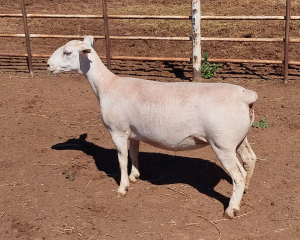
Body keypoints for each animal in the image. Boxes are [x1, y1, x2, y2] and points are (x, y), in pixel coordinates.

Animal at [47, 36, 258, 219]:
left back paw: (231, 209)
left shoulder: (117, 131)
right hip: (239, 138)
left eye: (67, 52)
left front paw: (122, 188)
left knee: (238, 175)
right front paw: (134, 176)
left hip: (222, 143)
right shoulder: (133, 133)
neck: (107, 85)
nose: (48, 65)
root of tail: (246, 96)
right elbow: (134, 153)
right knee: (250, 159)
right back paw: (246, 189)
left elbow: (122, 160)